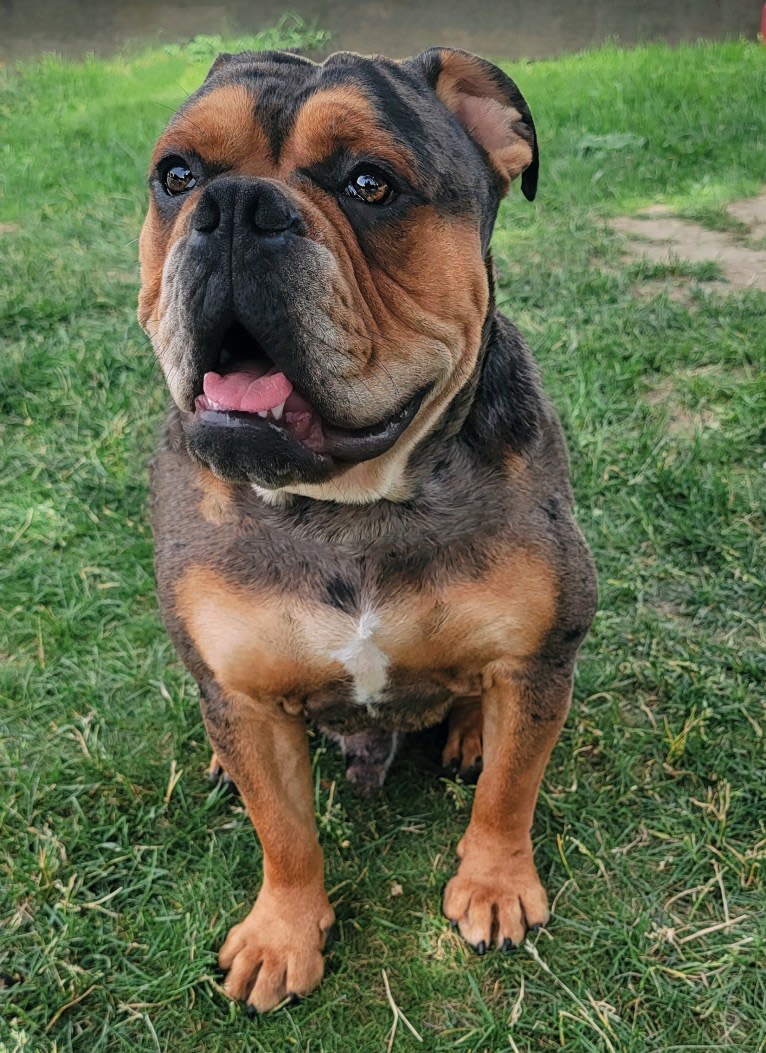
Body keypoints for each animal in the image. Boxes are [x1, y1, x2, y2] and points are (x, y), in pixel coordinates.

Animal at [138, 47, 598, 1010]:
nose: (234, 207)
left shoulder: (540, 654)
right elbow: (284, 830)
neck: (346, 505)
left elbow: (511, 789)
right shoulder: (243, 698)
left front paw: (495, 884)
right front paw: (282, 933)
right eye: (177, 176)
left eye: (369, 183)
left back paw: (469, 731)